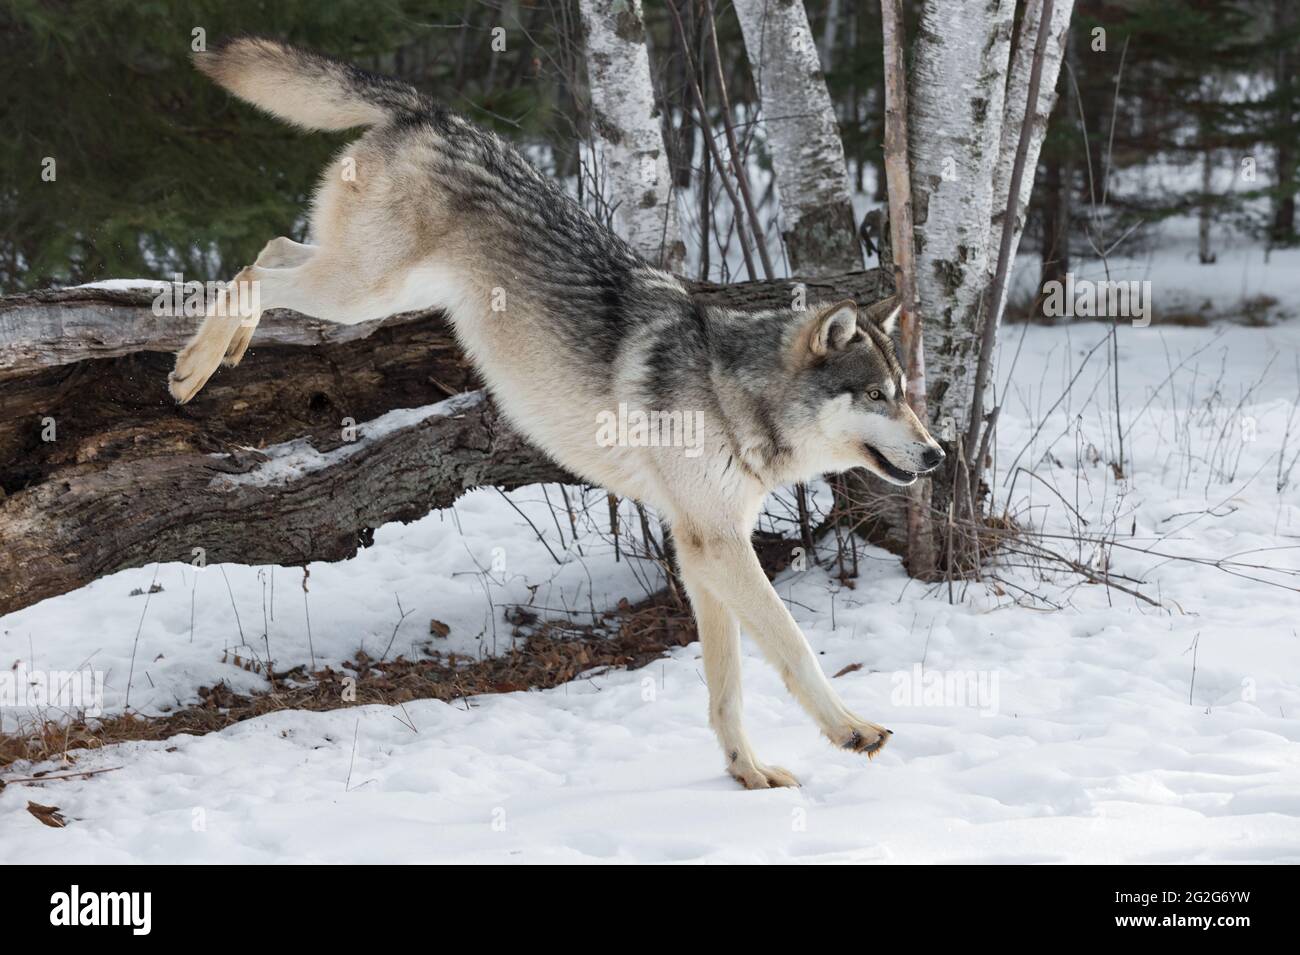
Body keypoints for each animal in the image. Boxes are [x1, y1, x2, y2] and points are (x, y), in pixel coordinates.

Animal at [172, 38, 945, 788]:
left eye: (905, 392)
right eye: (877, 396)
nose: (938, 454)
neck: (732, 395)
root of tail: (434, 112)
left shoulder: (700, 550)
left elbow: (727, 686)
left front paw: (746, 771)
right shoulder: (719, 546)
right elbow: (795, 645)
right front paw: (851, 729)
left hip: (379, 289)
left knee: (272, 251)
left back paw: (227, 346)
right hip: (364, 291)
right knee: (254, 272)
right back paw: (193, 368)